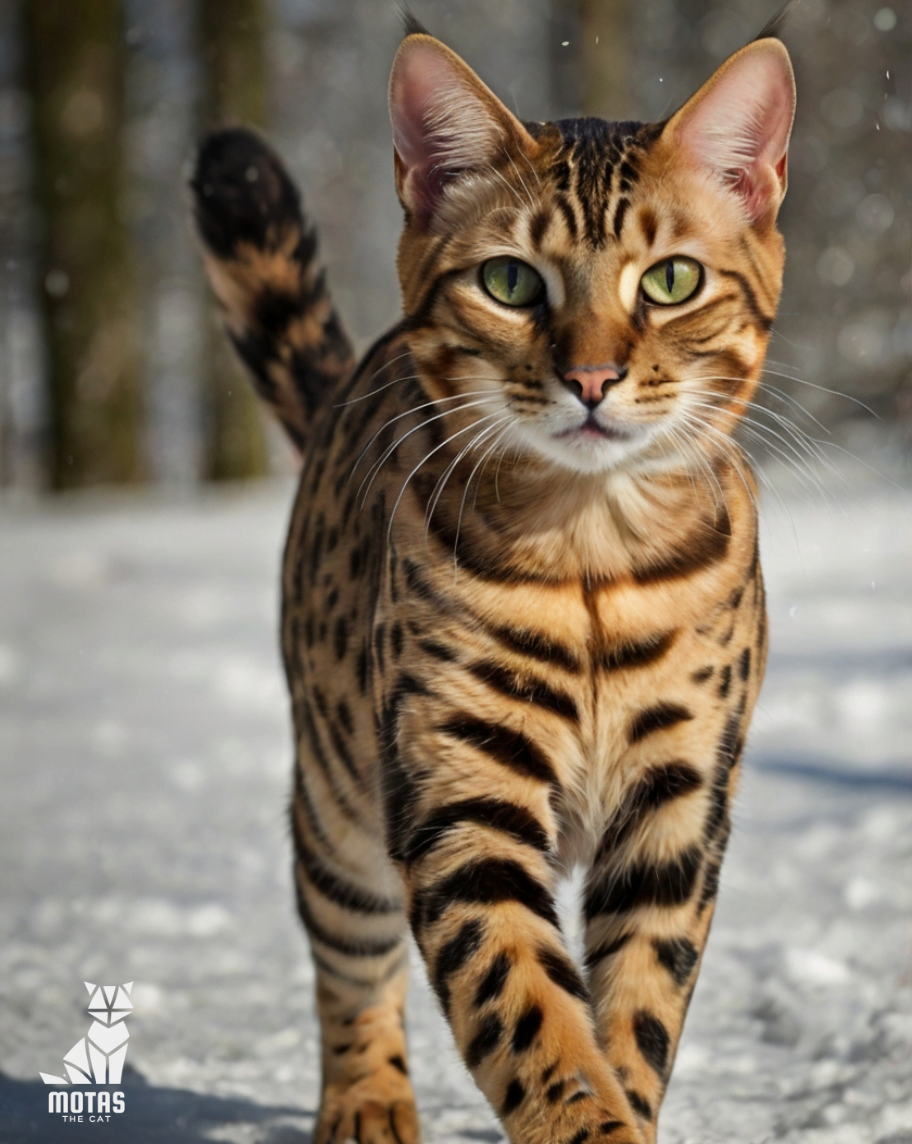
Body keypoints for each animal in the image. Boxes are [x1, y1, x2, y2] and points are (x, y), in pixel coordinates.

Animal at [189, 11, 791, 1144]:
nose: (592, 376)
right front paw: (585, 1117)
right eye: (510, 281)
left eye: (672, 280)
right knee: (348, 952)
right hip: (338, 794)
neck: (594, 552)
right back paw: (368, 1102)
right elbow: (530, 1015)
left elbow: (635, 1012)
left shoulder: (679, 803)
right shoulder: (460, 794)